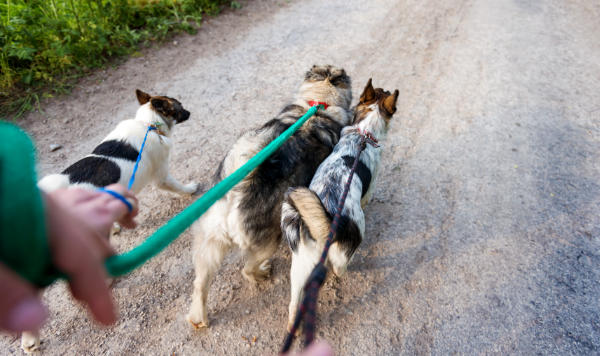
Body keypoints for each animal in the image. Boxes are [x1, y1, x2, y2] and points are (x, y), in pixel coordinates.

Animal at [21, 89, 198, 354]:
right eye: (179, 106)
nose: (189, 112)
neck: (148, 124)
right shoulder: (162, 176)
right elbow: (178, 186)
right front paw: (191, 189)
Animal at [185, 64, 354, 328]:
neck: (317, 103)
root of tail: (234, 196)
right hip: (269, 240)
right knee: (247, 270)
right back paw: (261, 273)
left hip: (209, 244)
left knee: (200, 285)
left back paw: (198, 318)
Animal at [280, 79, 398, 330]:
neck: (363, 133)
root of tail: (320, 228)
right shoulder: (371, 186)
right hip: (350, 243)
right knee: (339, 269)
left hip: (300, 266)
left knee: (294, 302)